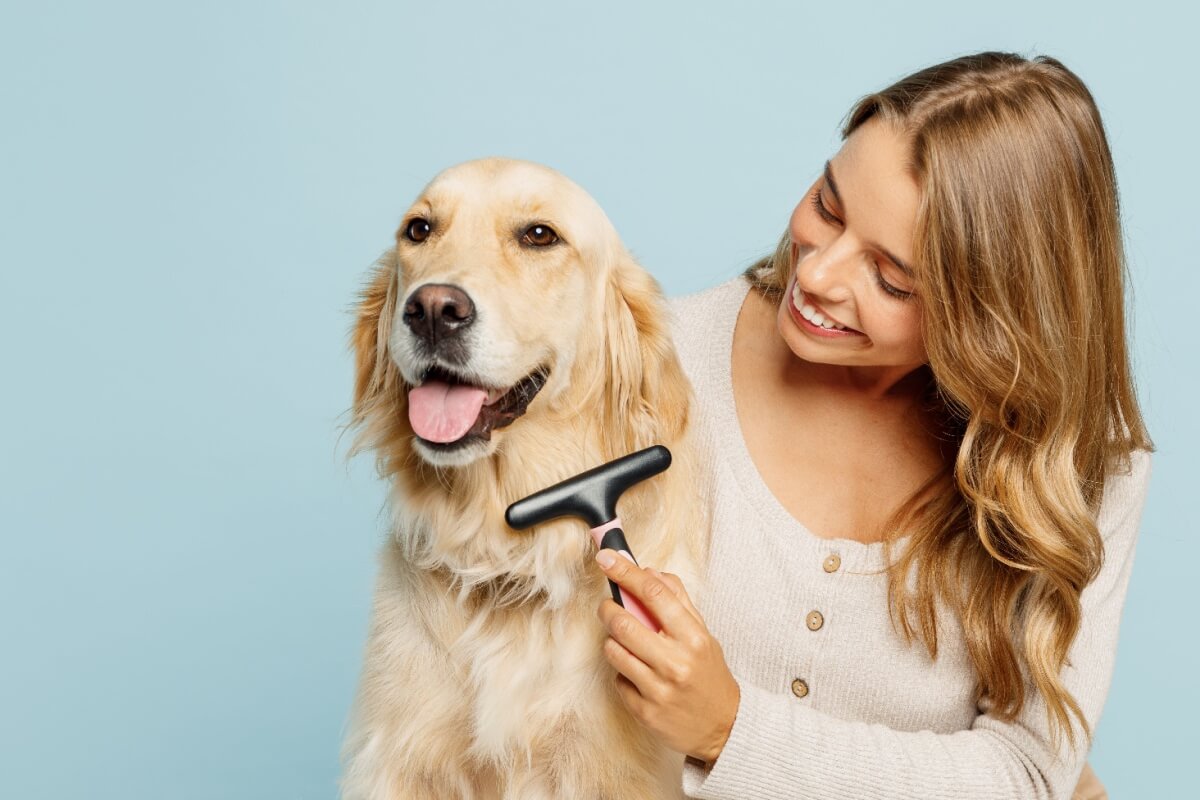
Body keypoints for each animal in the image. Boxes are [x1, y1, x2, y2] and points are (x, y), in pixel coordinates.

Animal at [338, 158, 705, 800]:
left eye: (539, 235)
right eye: (418, 230)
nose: (432, 309)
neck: (500, 552)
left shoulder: (608, 769)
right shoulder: (401, 756)